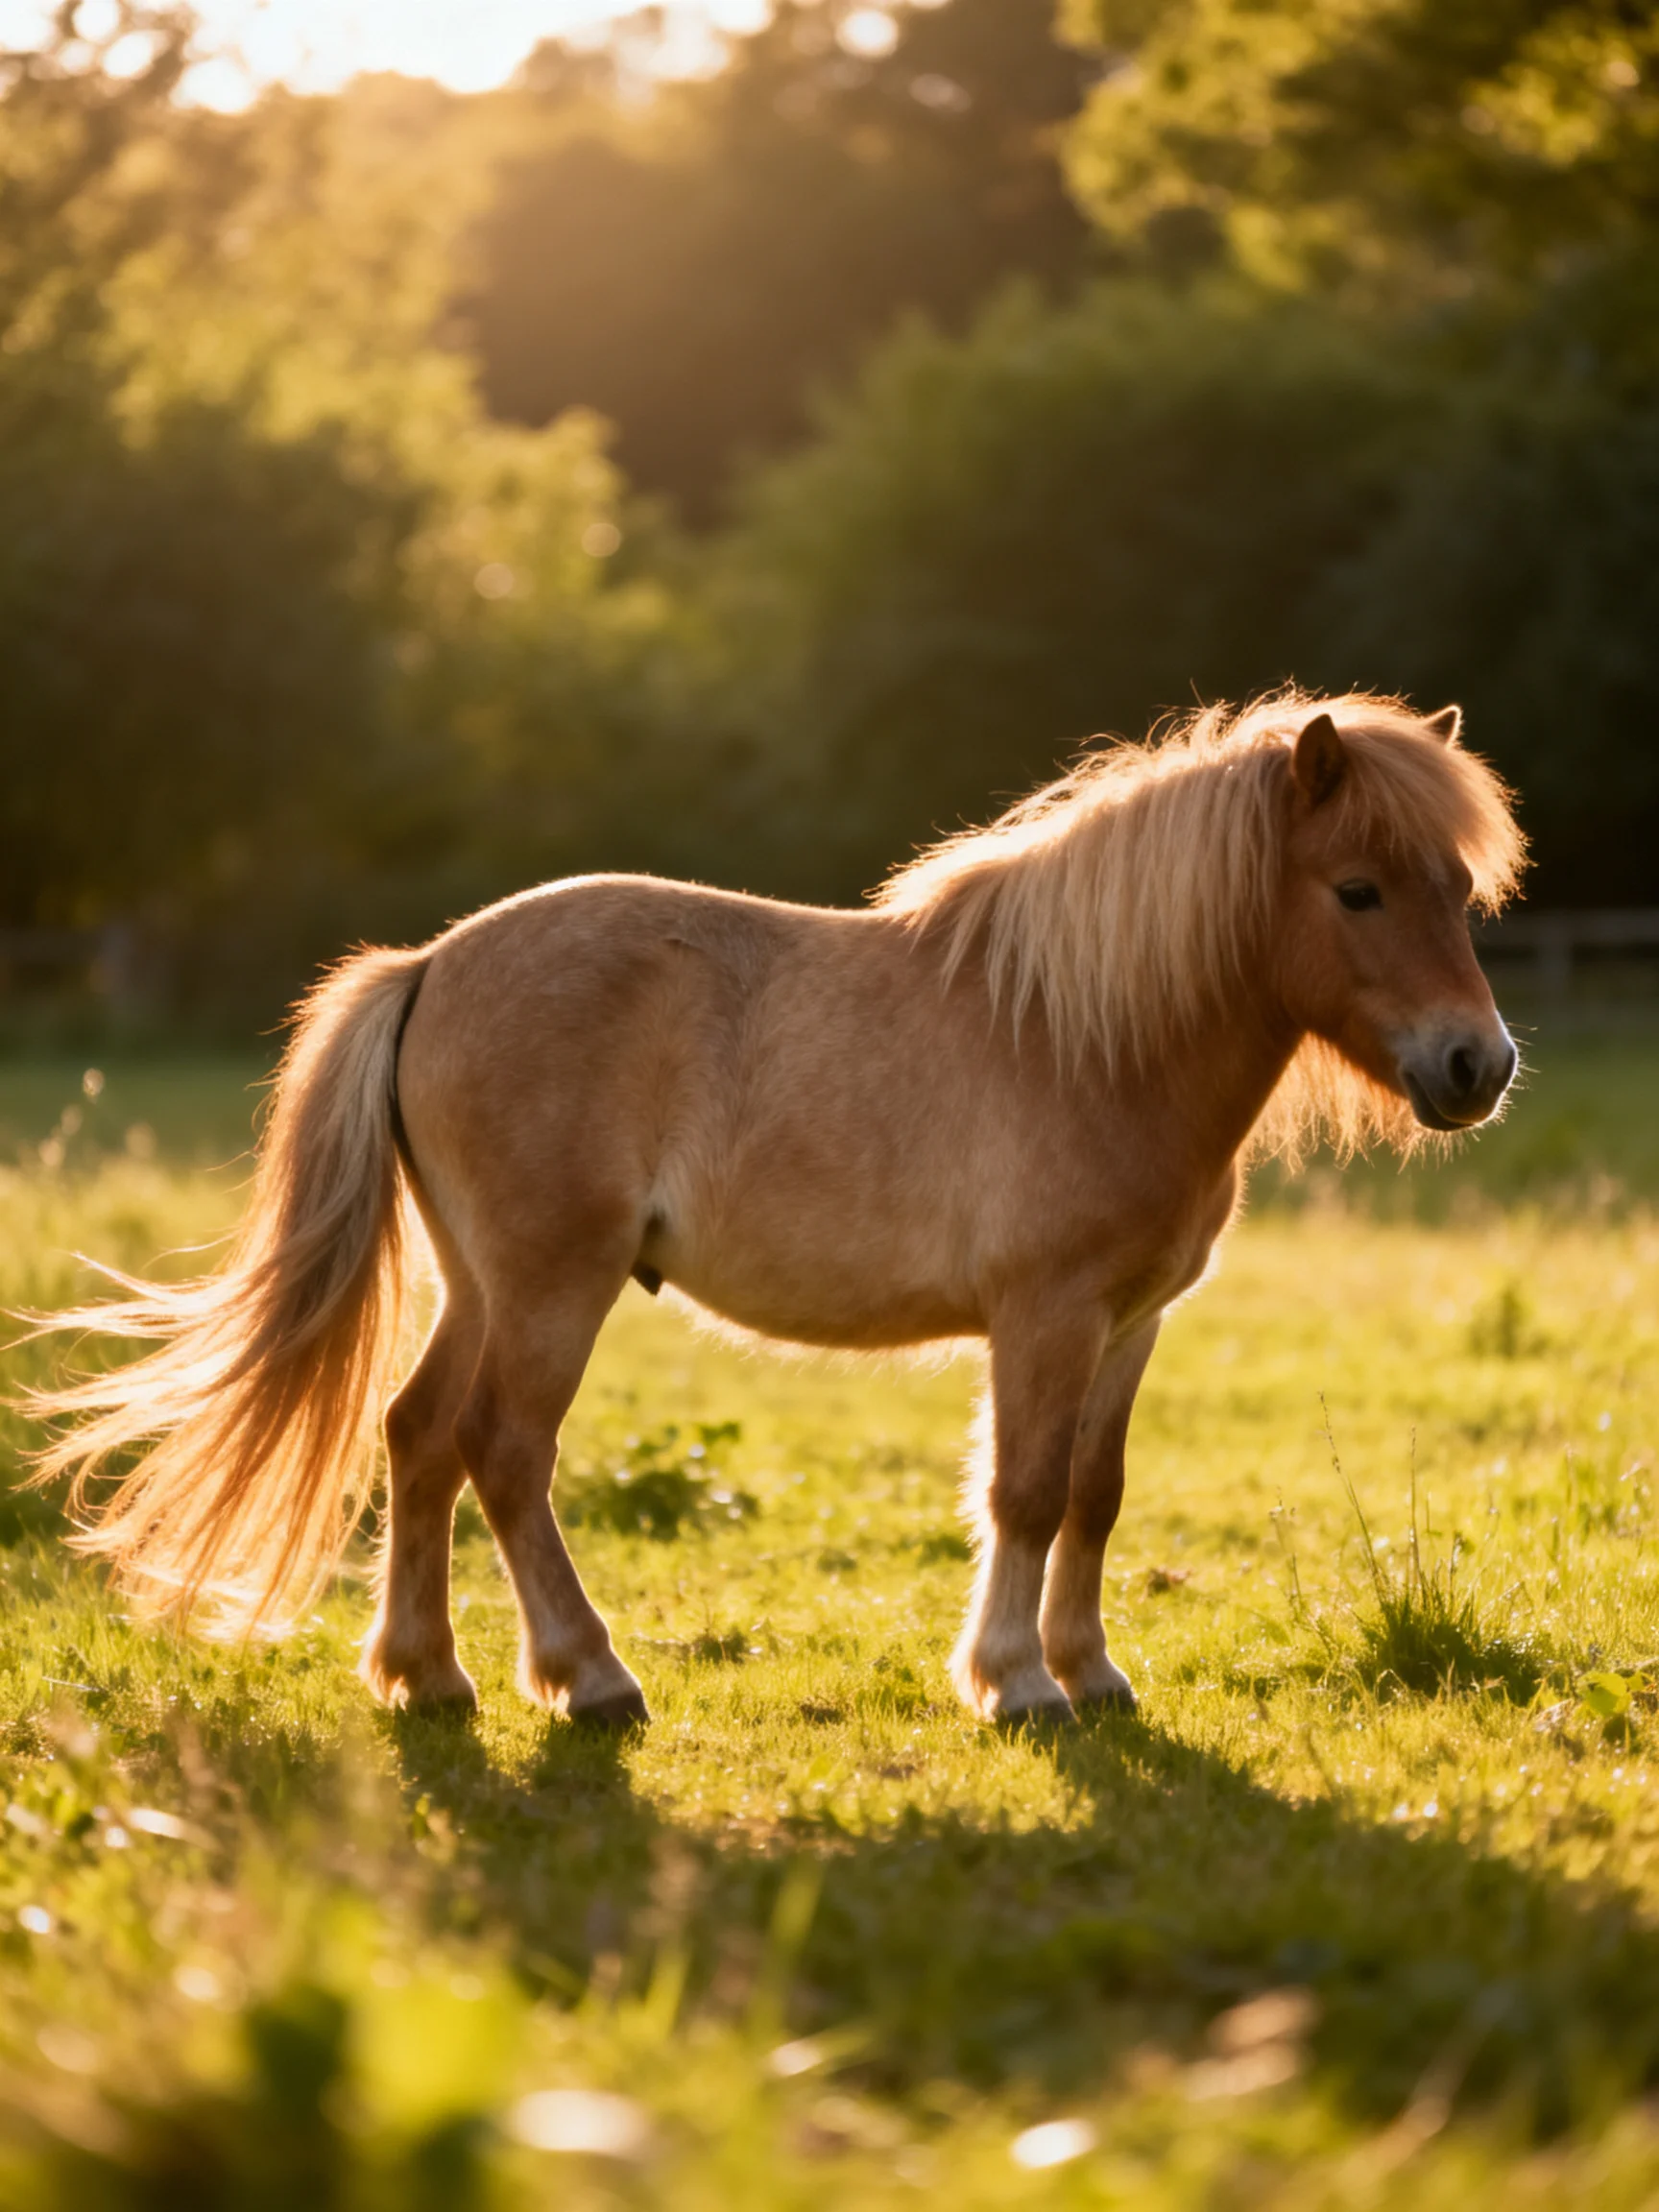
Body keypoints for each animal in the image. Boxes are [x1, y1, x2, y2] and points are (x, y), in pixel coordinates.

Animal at [26, 690, 1525, 1727]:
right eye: (1357, 889)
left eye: (1461, 889)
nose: (1478, 1066)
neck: (1087, 1037)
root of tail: (433, 963)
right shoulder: (1044, 1316)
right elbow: (1026, 1491)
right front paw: (1015, 1684)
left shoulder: (1130, 1321)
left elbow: (1094, 1496)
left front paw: (1090, 1672)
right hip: (552, 1285)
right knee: (506, 1450)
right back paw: (588, 1678)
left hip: (480, 1283)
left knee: (417, 1438)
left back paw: (429, 1675)